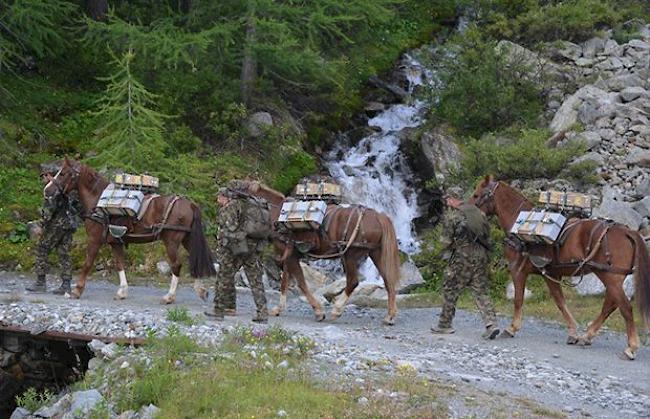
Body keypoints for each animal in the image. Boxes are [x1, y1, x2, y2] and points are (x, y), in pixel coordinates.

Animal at [43, 159, 215, 304]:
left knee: (177, 265)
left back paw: (169, 296)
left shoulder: (94, 240)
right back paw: (201, 290)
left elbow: (87, 264)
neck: (98, 201)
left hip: (171, 241)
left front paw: (77, 291)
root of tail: (190, 204)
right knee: (196, 261)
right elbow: (120, 264)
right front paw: (122, 292)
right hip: (187, 239)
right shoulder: (115, 242)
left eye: (63, 173)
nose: (47, 190)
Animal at [242, 180, 398, 324]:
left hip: (350, 255)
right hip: (376, 253)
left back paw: (336, 310)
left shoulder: (291, 256)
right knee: (388, 281)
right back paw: (389, 316)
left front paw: (318, 311)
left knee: (353, 282)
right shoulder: (288, 255)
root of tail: (377, 215)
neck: (278, 213)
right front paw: (278, 309)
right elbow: (285, 281)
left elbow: (301, 283)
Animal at [468, 176, 644, 360]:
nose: (465, 210)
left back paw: (631, 347)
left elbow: (519, 300)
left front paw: (512, 328)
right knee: (610, 305)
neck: (518, 222)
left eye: (476, 195)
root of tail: (626, 231)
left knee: (625, 307)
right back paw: (587, 336)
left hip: (610, 277)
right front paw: (573, 333)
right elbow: (560, 301)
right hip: (613, 278)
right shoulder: (551, 274)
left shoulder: (519, 271)